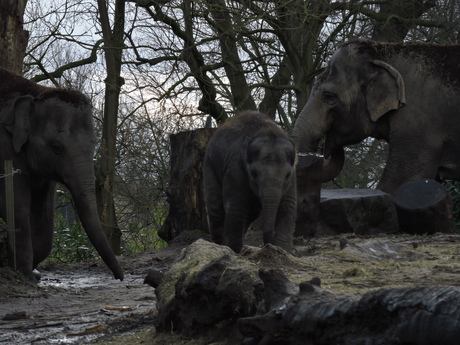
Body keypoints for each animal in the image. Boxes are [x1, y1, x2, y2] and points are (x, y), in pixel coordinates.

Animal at [0, 68, 123, 282]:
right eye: (56, 147)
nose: (120, 277)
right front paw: (25, 276)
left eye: (94, 143)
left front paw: (34, 274)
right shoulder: (4, 151)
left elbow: (43, 210)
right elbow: (16, 204)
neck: (36, 92)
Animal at [203, 111, 296, 253]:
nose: (268, 245)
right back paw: (219, 245)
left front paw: (283, 250)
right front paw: (232, 249)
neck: (266, 130)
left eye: (287, 175)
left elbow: (287, 205)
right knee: (215, 206)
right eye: (254, 173)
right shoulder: (235, 168)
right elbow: (236, 204)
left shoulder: (294, 176)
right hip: (209, 165)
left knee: (252, 212)